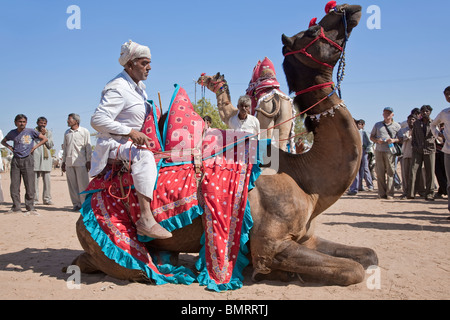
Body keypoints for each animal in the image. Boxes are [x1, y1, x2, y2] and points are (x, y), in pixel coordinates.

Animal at [72, 1, 378, 288]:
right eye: (313, 31)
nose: (348, 8)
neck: (307, 177)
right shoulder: (272, 247)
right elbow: (353, 270)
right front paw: (278, 273)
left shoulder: (307, 237)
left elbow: (369, 254)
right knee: (114, 264)